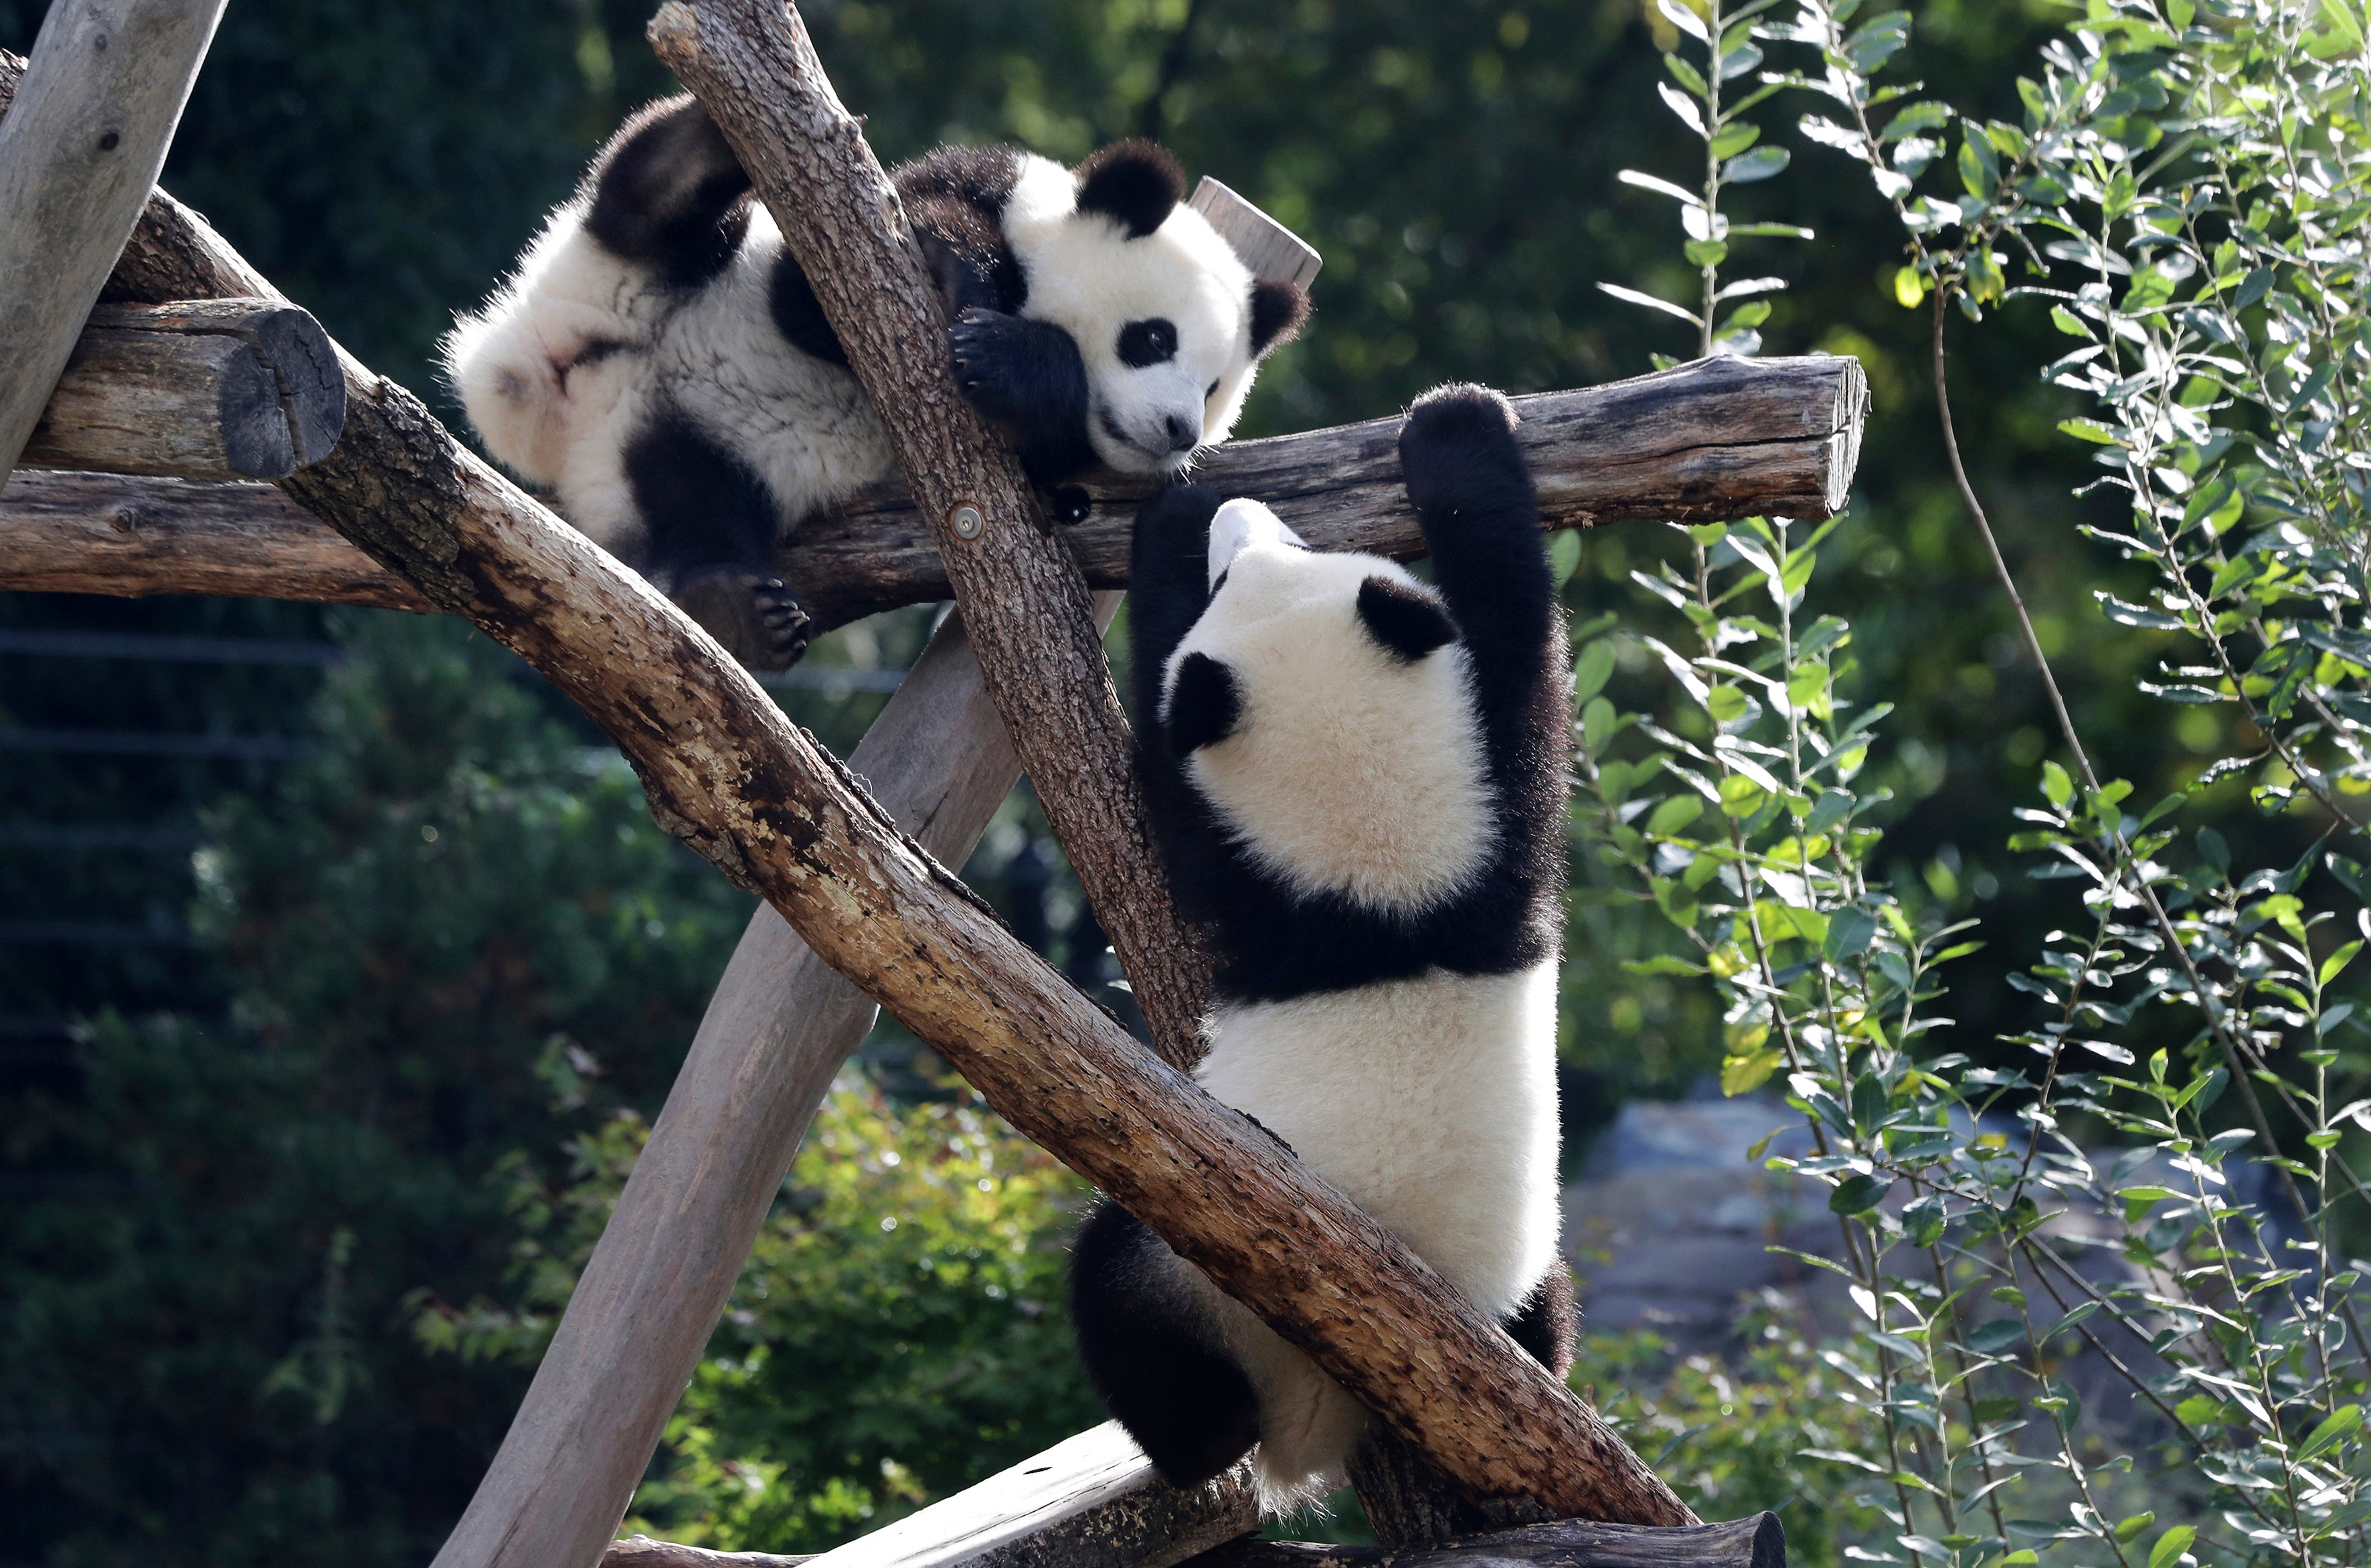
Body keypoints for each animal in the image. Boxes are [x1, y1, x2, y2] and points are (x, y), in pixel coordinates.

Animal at [443, 96, 1311, 668]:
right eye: (1153, 339)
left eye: (1215, 388)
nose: (1178, 432)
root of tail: (554, 390)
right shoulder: (924, 203)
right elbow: (809, 301)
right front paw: (958, 274)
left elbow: (1046, 456)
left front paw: (1012, 364)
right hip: (633, 271)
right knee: (650, 210)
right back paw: (700, 139)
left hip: (675, 452)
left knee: (696, 507)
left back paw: (738, 608)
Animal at [1070, 383, 1576, 1515]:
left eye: (1242, 571)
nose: (1235, 514)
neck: (1380, 875)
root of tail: (1319, 1413)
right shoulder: (1503, 827)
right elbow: (1520, 638)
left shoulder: (1239, 873)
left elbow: (1160, 786)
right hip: (1518, 1271)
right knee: (1550, 1308)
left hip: (1199, 1270)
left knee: (1113, 1278)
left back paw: (1199, 1440)